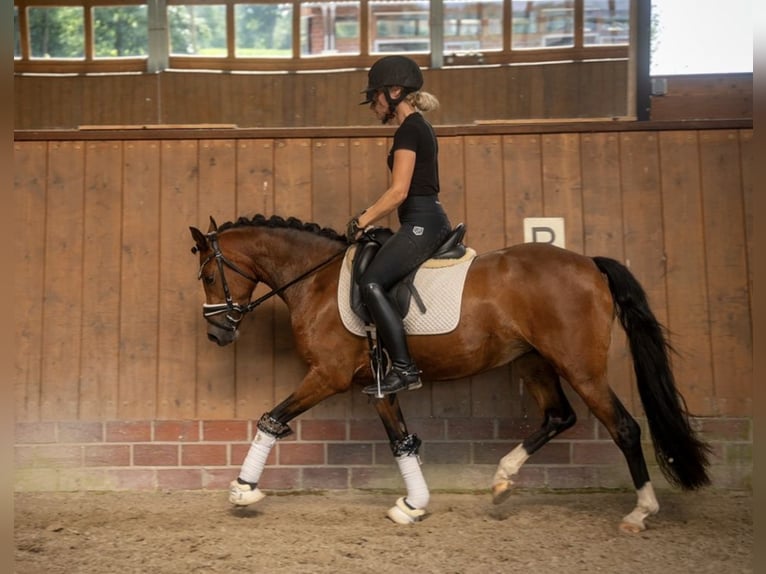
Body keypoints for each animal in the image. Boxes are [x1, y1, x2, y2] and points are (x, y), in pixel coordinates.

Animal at [190, 214, 712, 532]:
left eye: (209, 276)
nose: (216, 333)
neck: (315, 281)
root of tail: (589, 264)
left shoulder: (329, 375)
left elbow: (271, 418)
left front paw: (242, 490)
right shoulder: (377, 385)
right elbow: (401, 441)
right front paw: (412, 505)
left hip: (579, 365)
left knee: (624, 427)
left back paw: (640, 512)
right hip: (532, 360)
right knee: (559, 417)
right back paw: (502, 480)